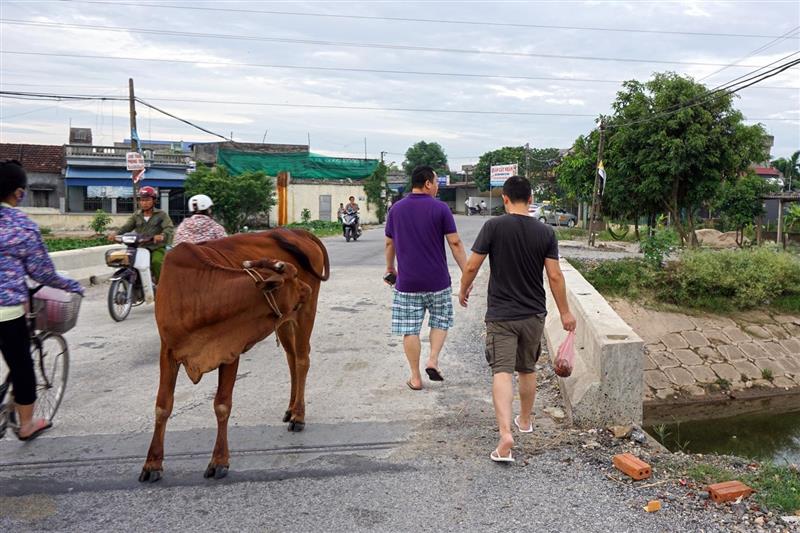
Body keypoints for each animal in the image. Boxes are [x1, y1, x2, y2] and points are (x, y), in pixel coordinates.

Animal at [138, 229, 328, 482]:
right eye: (294, 276)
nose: (306, 288)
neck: (197, 294)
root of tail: (299, 232)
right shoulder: (168, 350)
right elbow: (162, 406)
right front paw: (152, 464)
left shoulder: (229, 350)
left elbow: (222, 405)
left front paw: (219, 461)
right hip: (286, 320)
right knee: (291, 360)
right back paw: (290, 409)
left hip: (305, 313)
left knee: (301, 360)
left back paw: (298, 415)